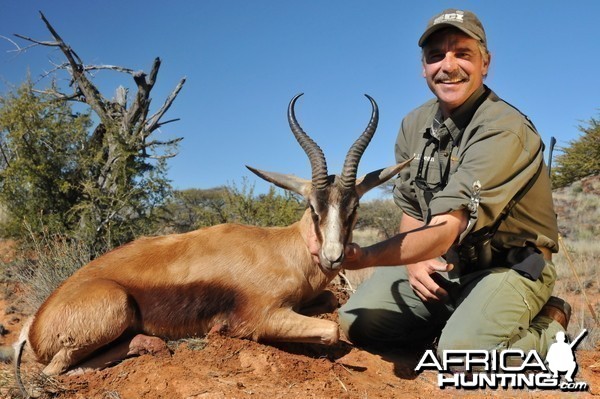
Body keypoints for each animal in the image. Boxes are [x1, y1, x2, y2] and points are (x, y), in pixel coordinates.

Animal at [10, 93, 412, 378]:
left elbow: (329, 301)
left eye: (353, 208)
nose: (333, 257)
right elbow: (332, 331)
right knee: (50, 374)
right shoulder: (261, 318)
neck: (284, 249)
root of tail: (36, 325)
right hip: (116, 306)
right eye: (314, 209)